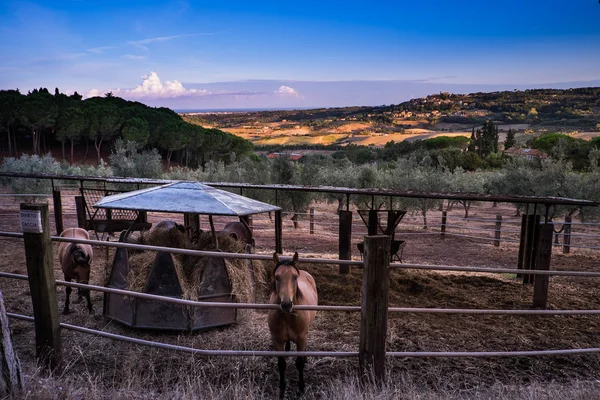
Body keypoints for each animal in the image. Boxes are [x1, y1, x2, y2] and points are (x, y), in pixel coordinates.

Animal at [264, 253, 316, 396]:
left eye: (294, 277)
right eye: (277, 277)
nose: (286, 305)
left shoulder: (301, 339)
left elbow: (299, 363)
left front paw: (301, 388)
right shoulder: (276, 340)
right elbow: (281, 364)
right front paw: (282, 389)